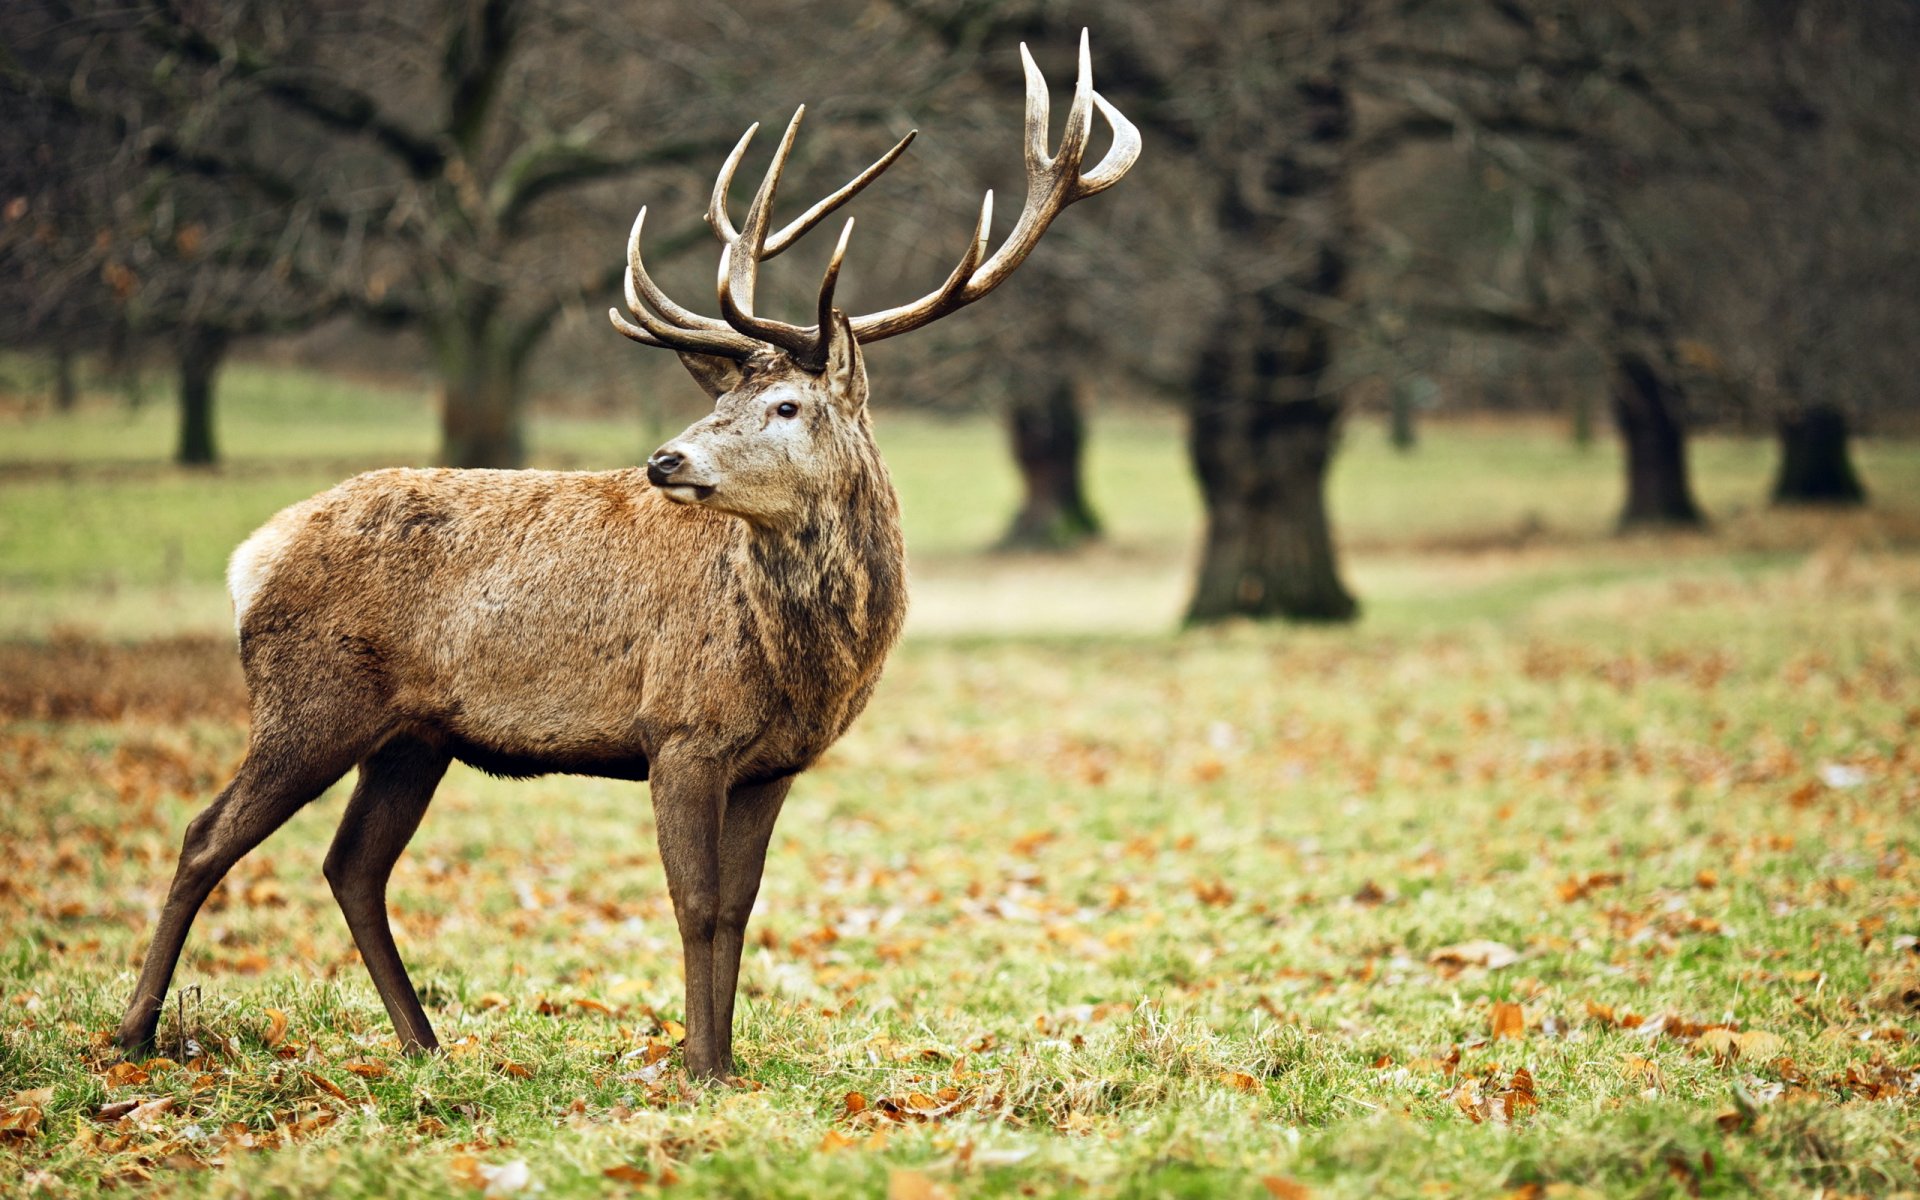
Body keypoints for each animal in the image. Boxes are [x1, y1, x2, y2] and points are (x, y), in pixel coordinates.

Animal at [116, 30, 1136, 1075]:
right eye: (723, 400)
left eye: (785, 405)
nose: (666, 457)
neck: (804, 665)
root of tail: (250, 556)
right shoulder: (679, 730)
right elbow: (695, 904)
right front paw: (695, 1066)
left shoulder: (773, 763)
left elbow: (740, 907)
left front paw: (725, 1065)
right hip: (311, 698)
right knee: (206, 834)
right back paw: (136, 1031)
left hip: (413, 736)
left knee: (351, 864)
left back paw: (425, 1046)